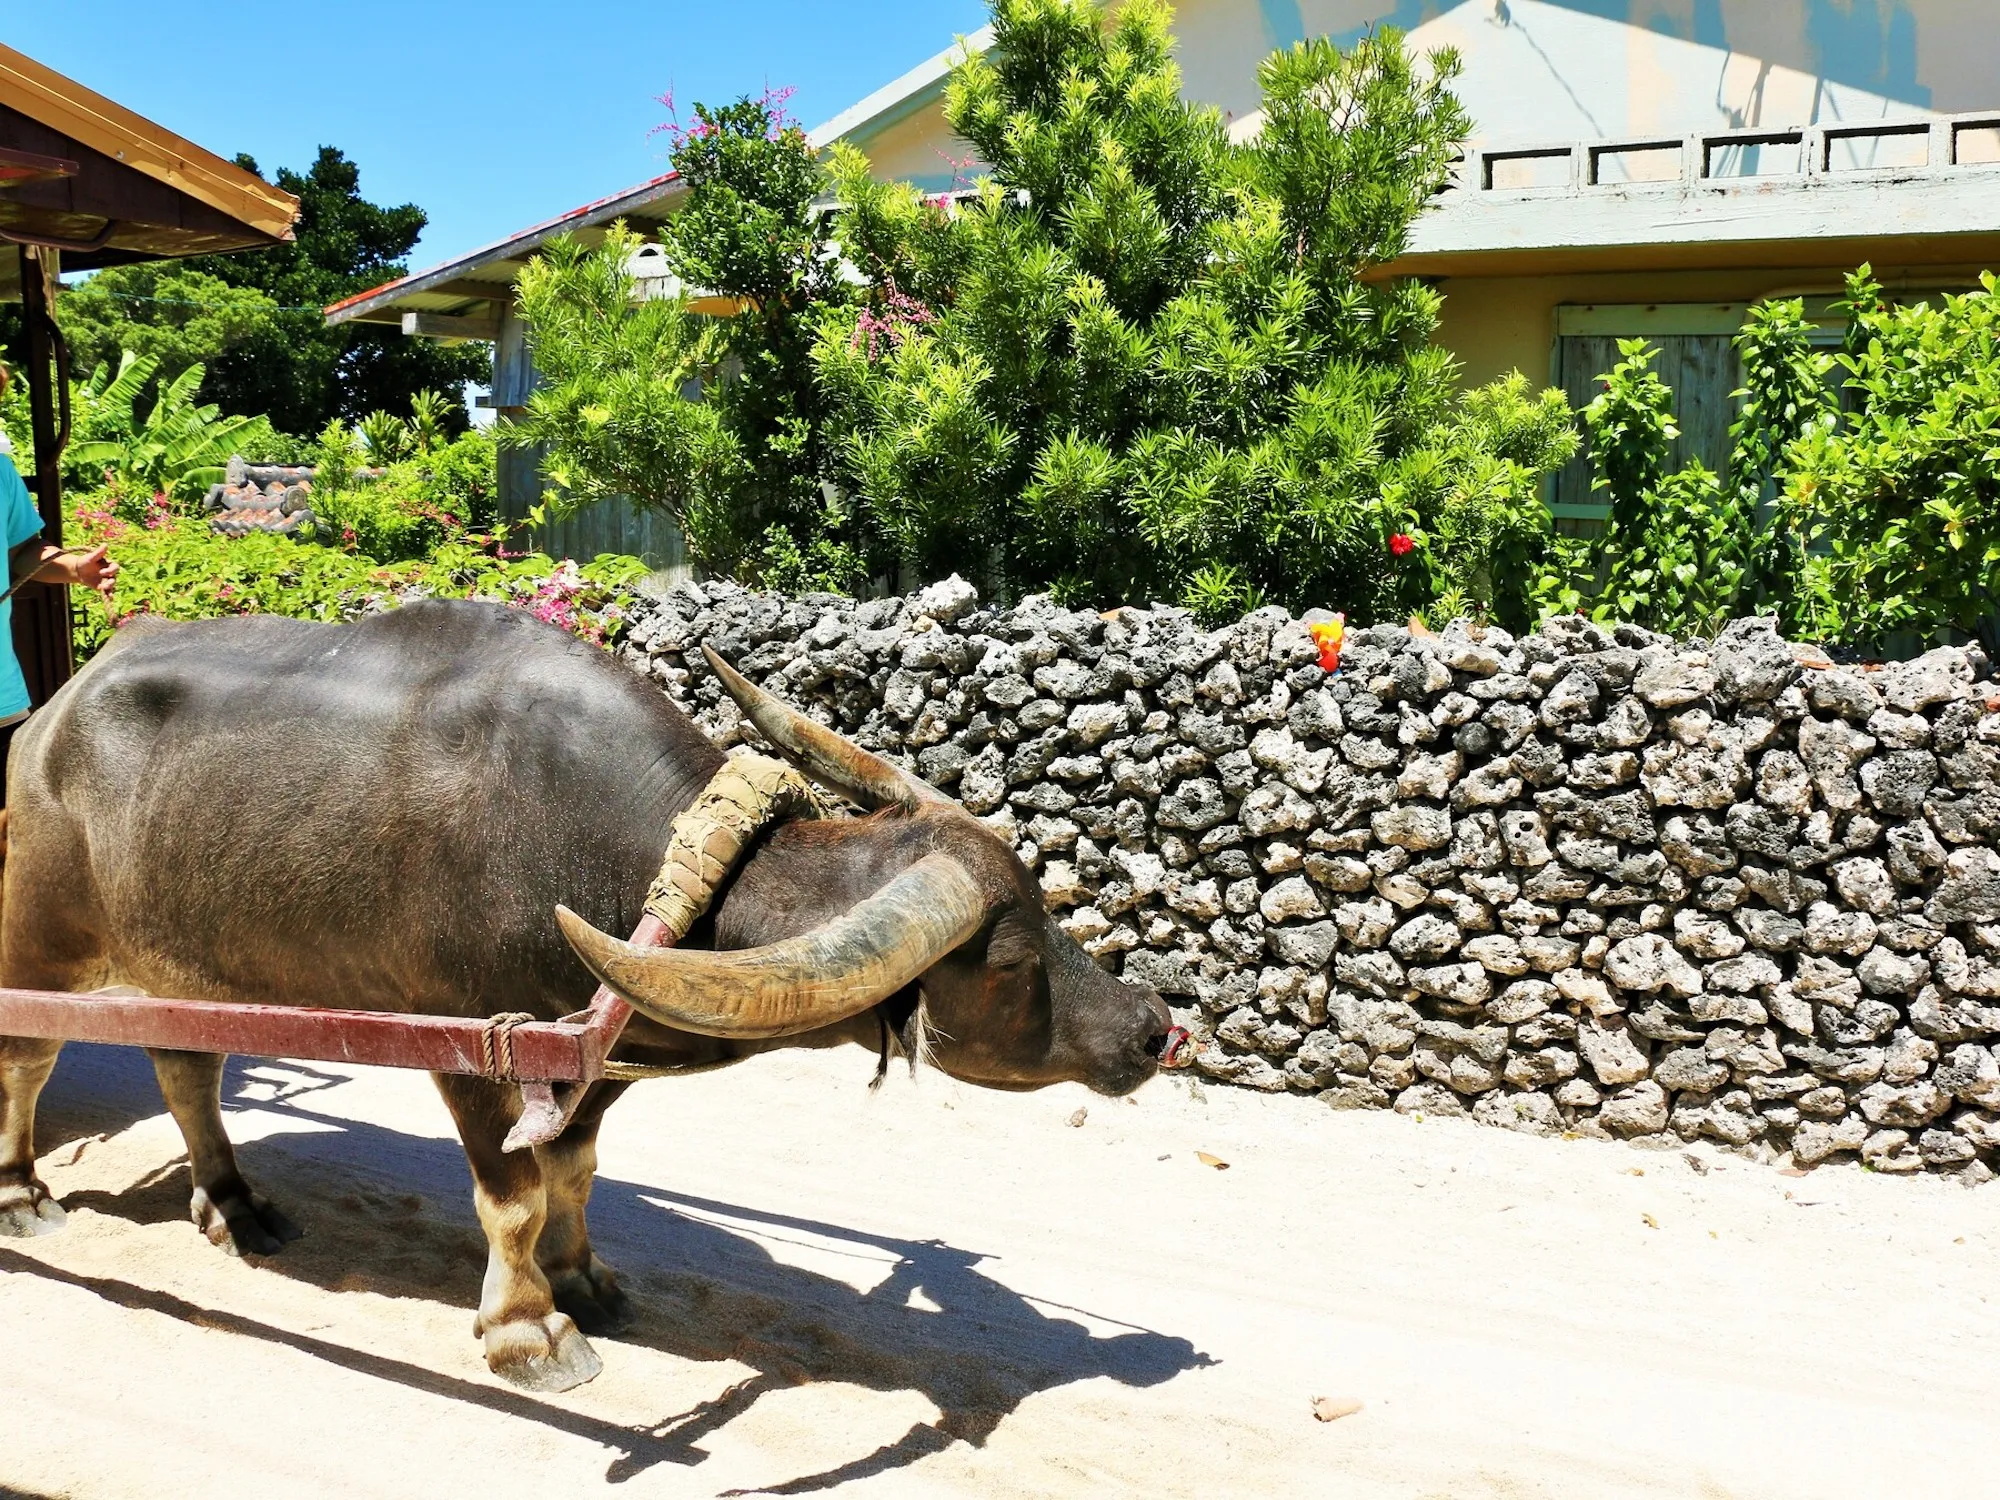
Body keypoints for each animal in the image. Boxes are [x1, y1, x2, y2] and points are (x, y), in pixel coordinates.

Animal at [0, 604, 1168, 1400]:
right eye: (1008, 959)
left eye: (1043, 909)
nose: (1153, 1026)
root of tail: (44, 724)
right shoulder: (480, 1055)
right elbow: (512, 1198)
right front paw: (529, 1331)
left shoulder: (588, 1064)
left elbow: (576, 1169)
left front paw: (582, 1276)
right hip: (40, 942)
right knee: (28, 1059)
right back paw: (23, 1197)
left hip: (178, 964)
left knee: (186, 1066)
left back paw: (233, 1204)